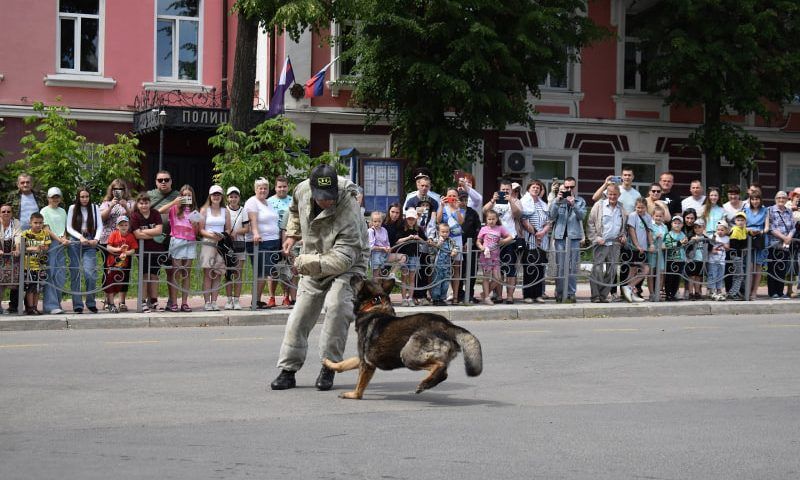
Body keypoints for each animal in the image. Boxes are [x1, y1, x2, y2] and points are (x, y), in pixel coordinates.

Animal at [324, 276, 484, 400]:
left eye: (360, 281)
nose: (354, 275)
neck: (374, 305)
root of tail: (447, 325)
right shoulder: (363, 358)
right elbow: (344, 364)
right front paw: (329, 363)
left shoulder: (366, 363)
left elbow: (360, 385)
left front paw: (354, 395)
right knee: (443, 373)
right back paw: (428, 383)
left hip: (408, 355)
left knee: (439, 366)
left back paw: (425, 383)